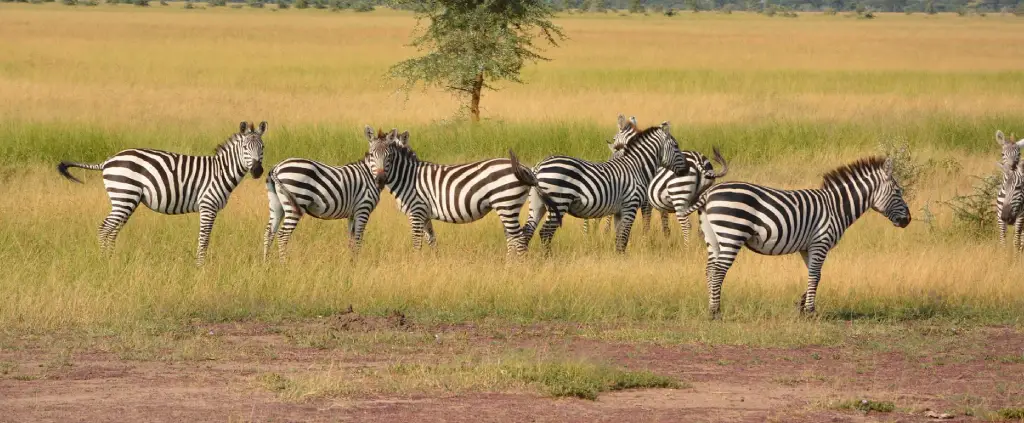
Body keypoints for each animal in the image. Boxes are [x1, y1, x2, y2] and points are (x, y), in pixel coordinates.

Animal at [56, 120, 268, 264]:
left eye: (263, 147)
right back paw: (104, 262)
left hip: (125, 200)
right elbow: (204, 238)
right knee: (105, 228)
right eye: (245, 147)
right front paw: (200, 266)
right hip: (124, 196)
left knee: (112, 230)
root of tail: (108, 161)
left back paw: (111, 259)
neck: (221, 170)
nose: (258, 171)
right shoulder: (208, 206)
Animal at [262, 124, 385, 260]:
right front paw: (356, 262)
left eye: (388, 156)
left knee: (269, 232)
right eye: (372, 155)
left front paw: (350, 261)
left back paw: (266, 262)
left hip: (276, 204)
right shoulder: (363, 209)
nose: (381, 179)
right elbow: (358, 239)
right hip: (295, 203)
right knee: (283, 235)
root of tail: (277, 167)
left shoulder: (352, 214)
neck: (368, 173)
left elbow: (351, 240)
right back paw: (284, 263)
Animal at [366, 127, 557, 254]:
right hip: (508, 207)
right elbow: (432, 241)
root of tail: (526, 168)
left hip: (506, 204)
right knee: (514, 238)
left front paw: (415, 264)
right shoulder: (425, 214)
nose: (380, 180)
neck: (408, 177)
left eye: (389, 156)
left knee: (519, 239)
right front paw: (434, 263)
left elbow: (416, 243)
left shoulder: (416, 212)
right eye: (371, 155)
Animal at [524, 114, 692, 254]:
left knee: (528, 231)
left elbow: (619, 237)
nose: (687, 169)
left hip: (538, 204)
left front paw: (618, 258)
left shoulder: (619, 210)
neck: (637, 166)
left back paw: (522, 259)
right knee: (545, 232)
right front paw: (624, 259)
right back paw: (547, 258)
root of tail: (539, 166)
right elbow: (624, 237)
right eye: (676, 146)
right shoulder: (631, 206)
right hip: (558, 202)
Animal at [696, 156, 913, 317]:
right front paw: (810, 311)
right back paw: (716, 312)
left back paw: (710, 308)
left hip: (713, 238)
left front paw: (800, 305)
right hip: (732, 233)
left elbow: (815, 275)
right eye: (897, 191)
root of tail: (709, 193)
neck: (836, 207)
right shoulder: (820, 242)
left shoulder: (806, 247)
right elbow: (815, 275)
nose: (908, 220)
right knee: (718, 271)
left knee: (709, 270)